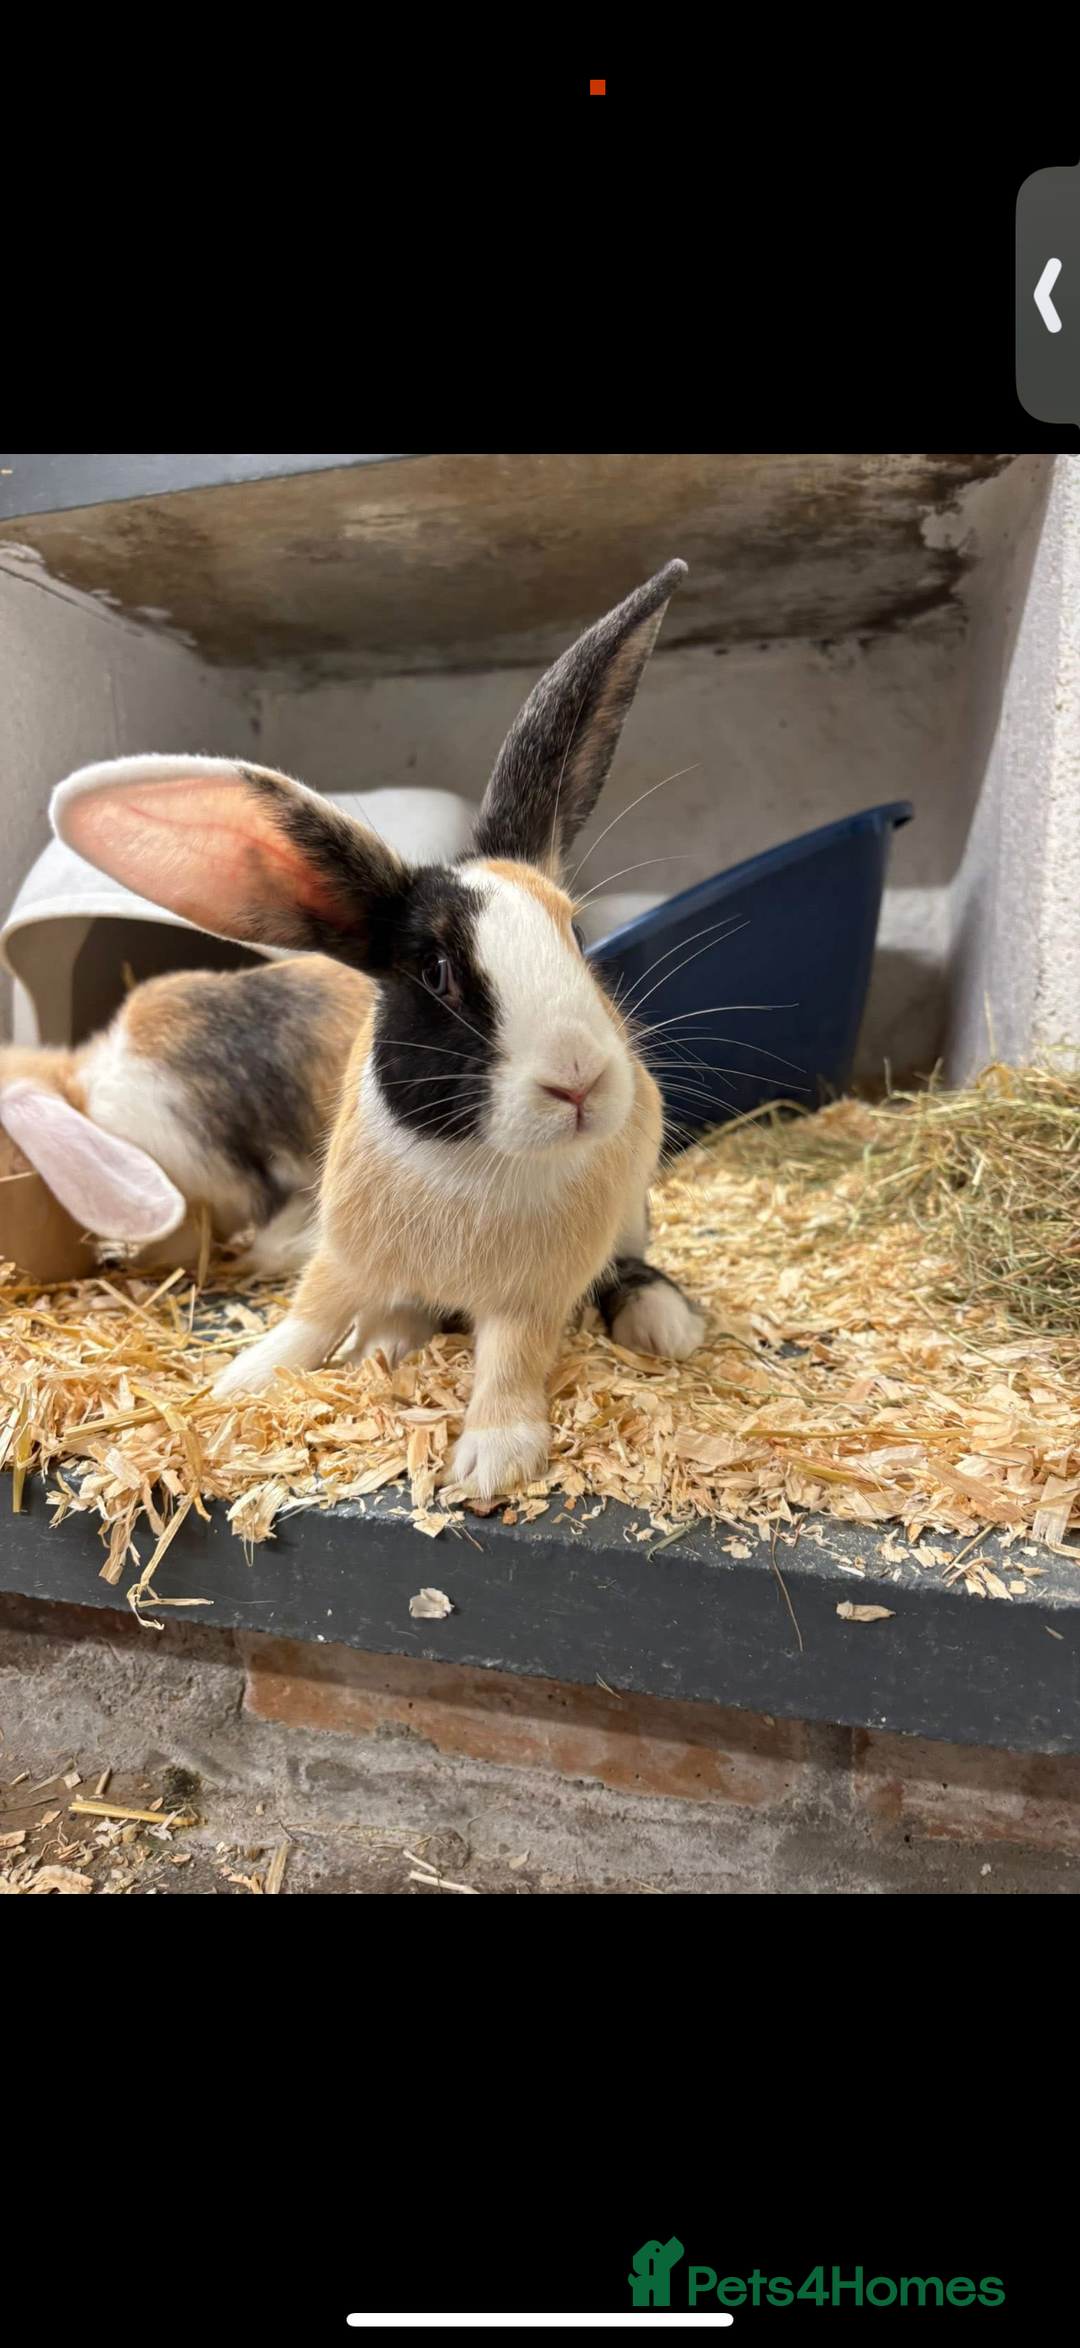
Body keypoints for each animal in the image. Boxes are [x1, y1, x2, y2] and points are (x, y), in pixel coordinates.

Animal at [48, 559, 705, 1497]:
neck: (469, 1162)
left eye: (576, 938)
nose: (581, 1081)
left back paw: (663, 1322)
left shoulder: (532, 1296)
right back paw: (386, 1343)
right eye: (434, 972)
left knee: (627, 1267)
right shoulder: (345, 1253)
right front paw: (241, 1379)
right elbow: (310, 1316)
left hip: (628, 1218)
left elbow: (511, 1362)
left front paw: (492, 1460)